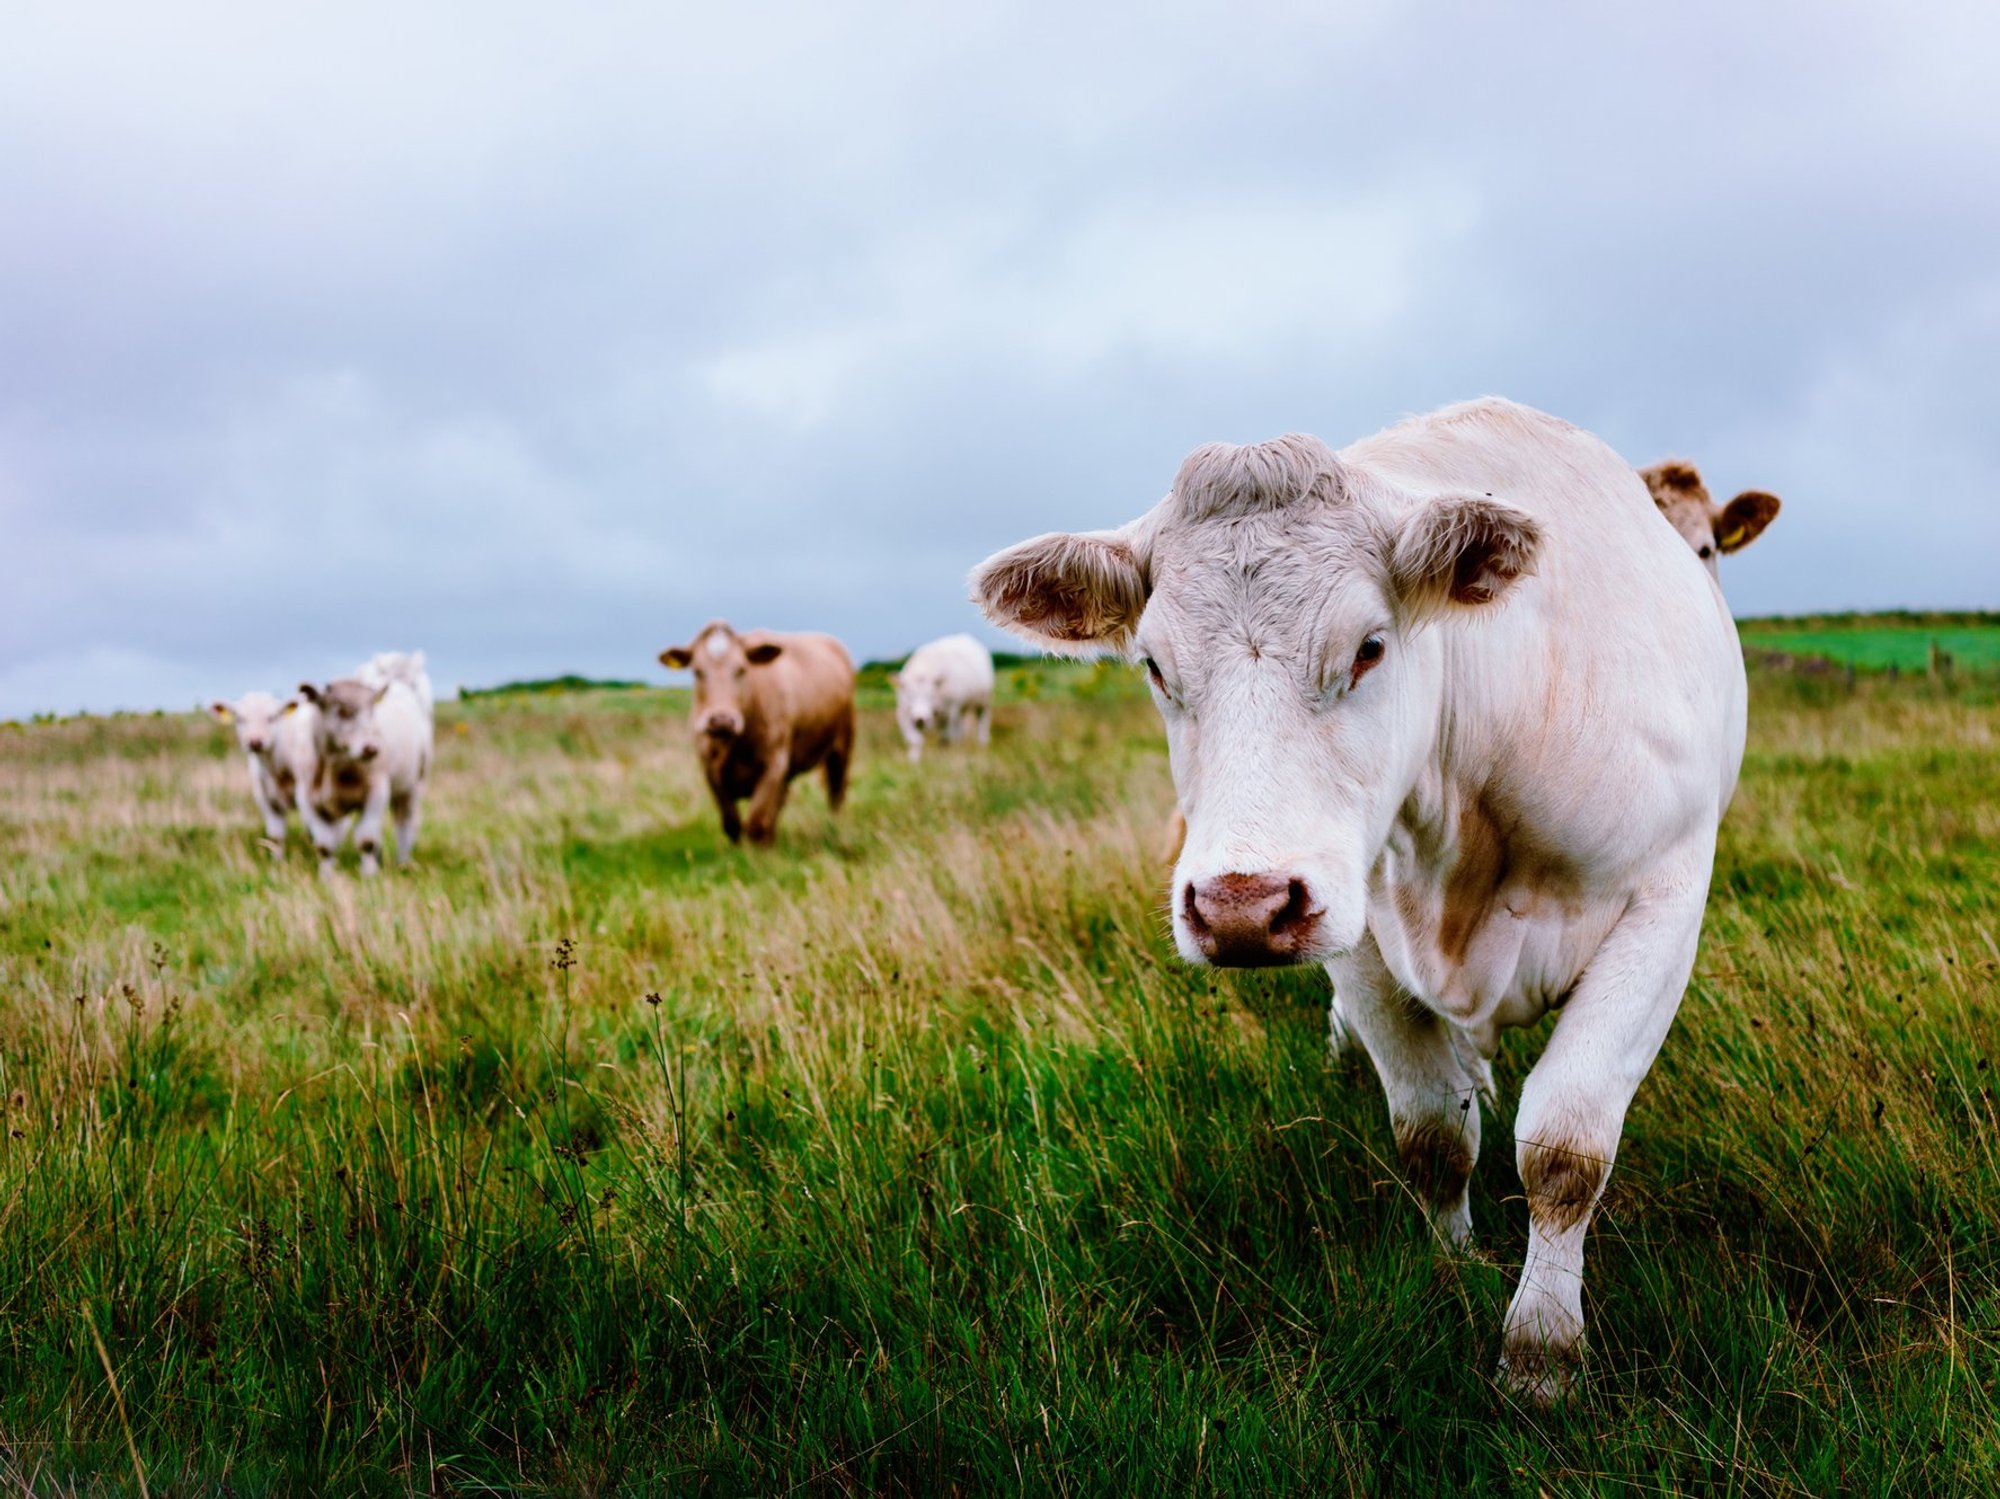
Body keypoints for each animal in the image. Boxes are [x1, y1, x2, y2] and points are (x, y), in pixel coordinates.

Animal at [210, 690, 318, 853]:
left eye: (271, 717)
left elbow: (314, 834)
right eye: (240, 718)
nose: (255, 742)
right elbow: (276, 838)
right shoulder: (267, 802)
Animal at [294, 675, 432, 877]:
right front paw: (327, 876)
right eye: (342, 711)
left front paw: (369, 875)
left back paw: (403, 862)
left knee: (405, 823)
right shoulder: (307, 799)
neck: (334, 764)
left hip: (412, 785)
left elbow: (366, 840)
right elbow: (324, 846)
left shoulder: (376, 792)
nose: (371, 748)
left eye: (372, 711)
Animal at [658, 620, 856, 845]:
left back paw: (833, 830)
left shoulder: (773, 765)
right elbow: (732, 824)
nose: (721, 720)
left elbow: (756, 824)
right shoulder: (709, 769)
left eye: (741, 669)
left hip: (842, 746)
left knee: (836, 793)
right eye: (697, 671)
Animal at [892, 633, 995, 764]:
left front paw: (943, 758)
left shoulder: (950, 712)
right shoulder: (903, 713)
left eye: (931, 695)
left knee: (982, 720)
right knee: (960, 731)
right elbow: (915, 740)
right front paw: (913, 760)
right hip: (961, 709)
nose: (920, 719)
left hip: (983, 701)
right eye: (909, 695)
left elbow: (945, 739)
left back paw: (982, 743)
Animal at [971, 398, 1746, 1402]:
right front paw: (1452, 1271)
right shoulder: (1362, 941)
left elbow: (1565, 1149)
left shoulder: (1664, 901)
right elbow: (1432, 1133)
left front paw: (1541, 1350)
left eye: (1370, 646)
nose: (1240, 904)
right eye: (1153, 666)